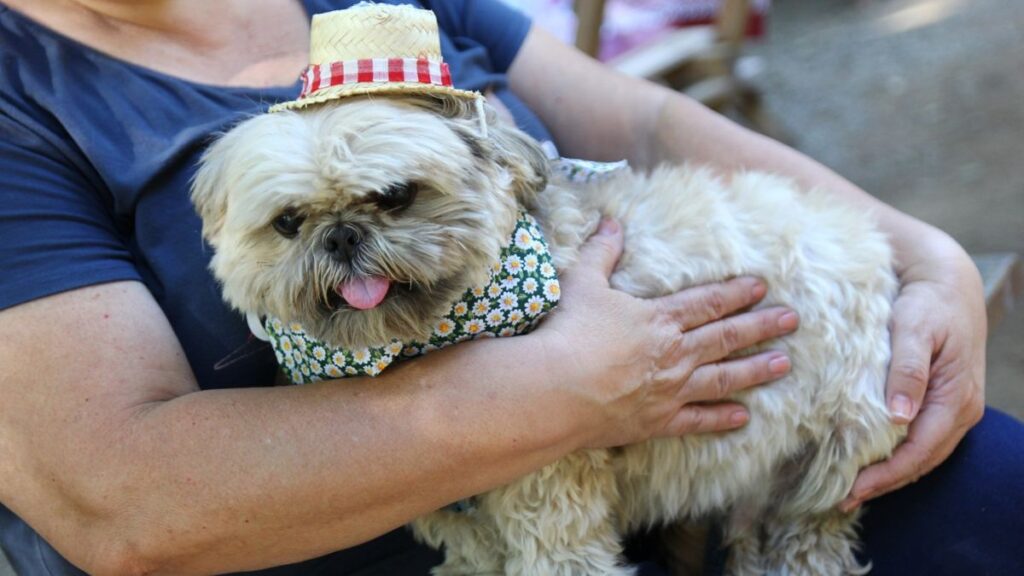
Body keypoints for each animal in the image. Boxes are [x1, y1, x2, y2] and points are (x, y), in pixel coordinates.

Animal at [190, 94, 905, 573]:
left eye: (395, 195)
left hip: (833, 467)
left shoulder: (553, 490)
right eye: (288, 221)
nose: (341, 236)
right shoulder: (461, 519)